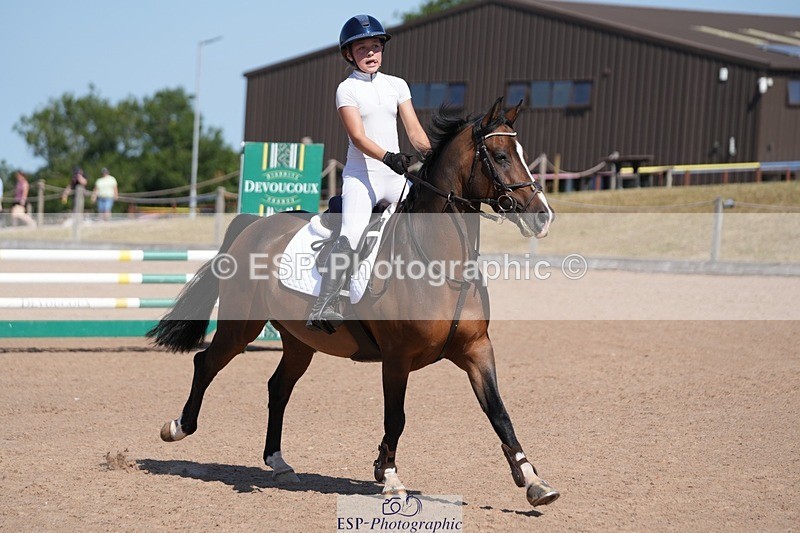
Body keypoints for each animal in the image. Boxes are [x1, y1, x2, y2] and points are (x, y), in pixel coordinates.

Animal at [147, 97, 559, 508]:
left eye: (522, 155)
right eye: (501, 156)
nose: (543, 216)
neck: (442, 264)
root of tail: (255, 225)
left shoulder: (475, 348)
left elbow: (499, 412)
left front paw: (533, 481)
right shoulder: (397, 357)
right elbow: (396, 417)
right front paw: (390, 477)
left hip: (299, 342)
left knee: (278, 387)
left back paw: (279, 462)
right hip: (241, 327)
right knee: (207, 363)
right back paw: (178, 427)